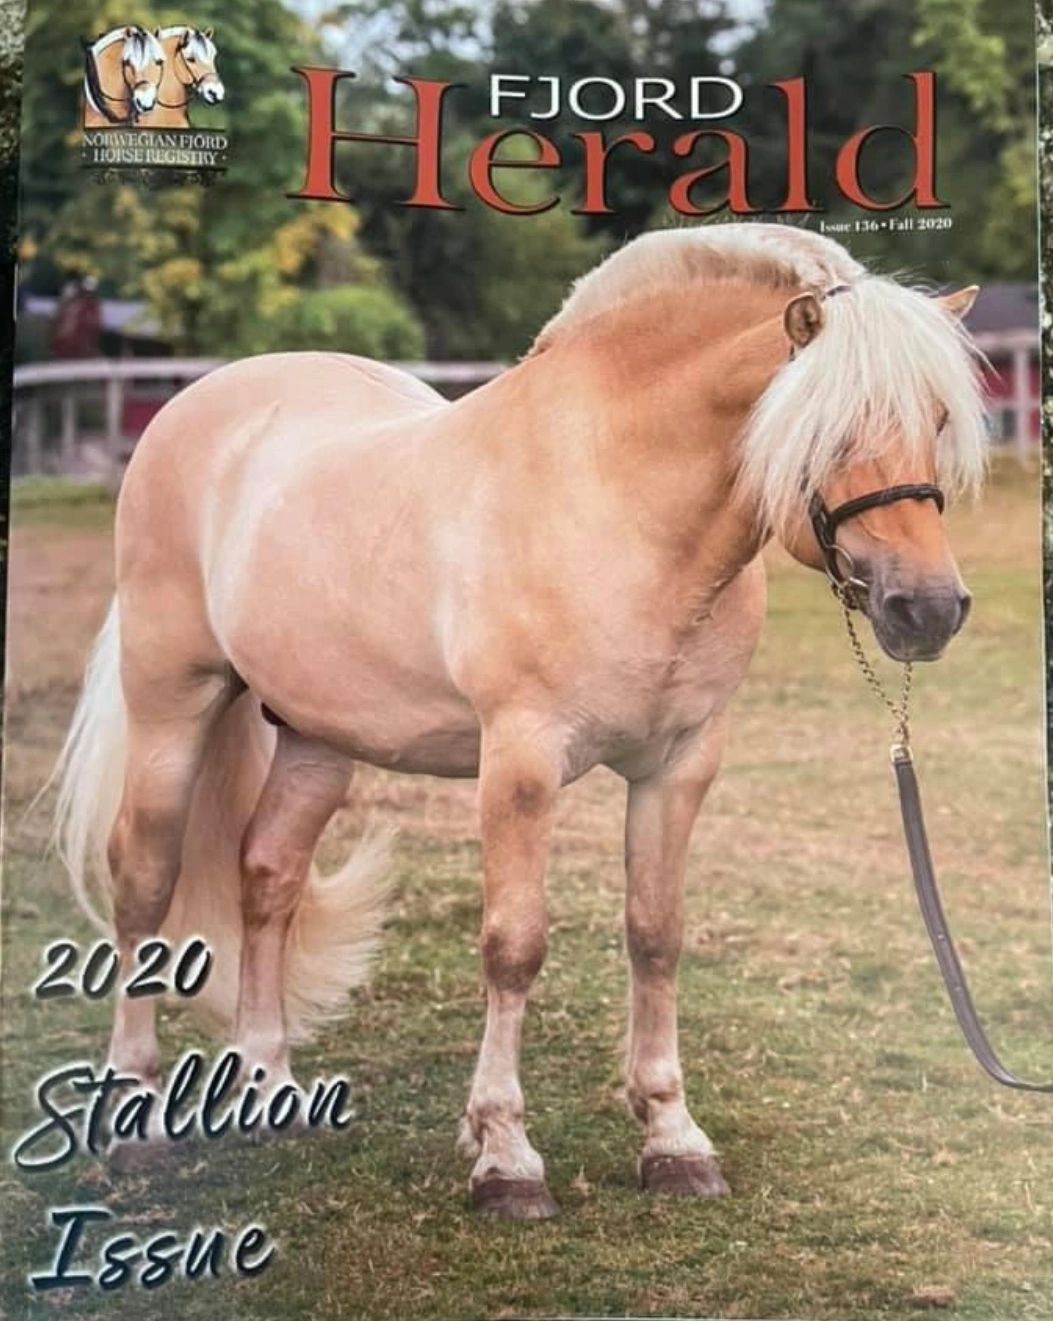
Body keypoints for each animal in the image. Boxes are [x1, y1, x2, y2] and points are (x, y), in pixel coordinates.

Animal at [55, 223, 986, 1220]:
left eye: (936, 418)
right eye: (826, 425)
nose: (927, 609)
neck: (616, 499)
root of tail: (199, 404)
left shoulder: (680, 764)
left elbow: (655, 935)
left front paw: (672, 1139)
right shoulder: (521, 762)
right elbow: (514, 945)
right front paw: (504, 1155)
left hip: (315, 736)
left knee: (267, 876)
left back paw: (272, 1088)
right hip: (172, 701)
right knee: (144, 878)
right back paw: (134, 1113)